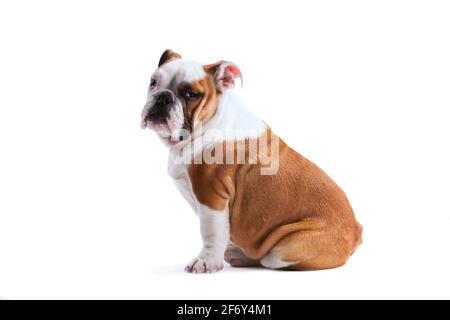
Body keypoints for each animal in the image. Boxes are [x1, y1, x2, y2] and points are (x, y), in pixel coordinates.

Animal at [141, 49, 362, 272]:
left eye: (192, 94)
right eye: (152, 82)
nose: (163, 97)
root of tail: (357, 232)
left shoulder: (210, 195)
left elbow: (211, 232)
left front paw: (206, 262)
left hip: (287, 248)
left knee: (268, 259)